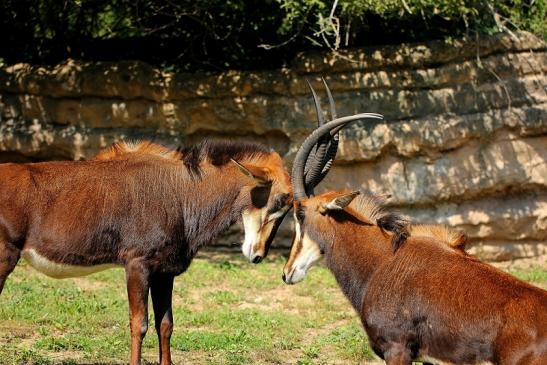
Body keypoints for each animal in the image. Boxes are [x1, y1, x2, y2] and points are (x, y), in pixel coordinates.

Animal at [0, 82, 386, 364]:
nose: (258, 255)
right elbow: (139, 324)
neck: (180, 190)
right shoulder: (137, 266)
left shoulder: (164, 272)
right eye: (279, 202)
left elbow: (166, 324)